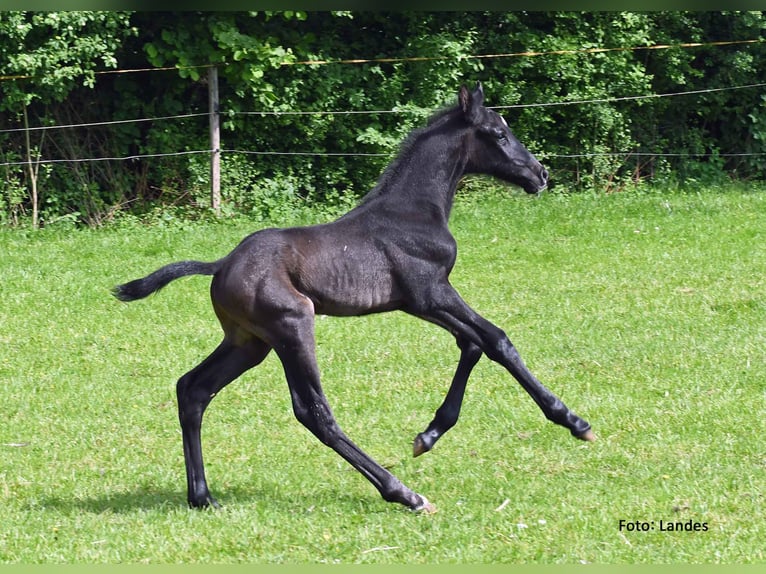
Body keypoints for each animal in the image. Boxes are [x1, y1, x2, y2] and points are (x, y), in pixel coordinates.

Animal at [114, 83, 596, 516]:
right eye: (498, 134)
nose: (540, 175)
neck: (413, 211)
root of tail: (220, 265)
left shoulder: (420, 303)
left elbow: (472, 344)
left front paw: (429, 435)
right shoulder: (431, 293)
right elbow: (496, 340)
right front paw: (574, 421)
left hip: (249, 342)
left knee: (193, 389)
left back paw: (202, 497)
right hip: (291, 326)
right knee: (313, 412)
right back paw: (405, 494)